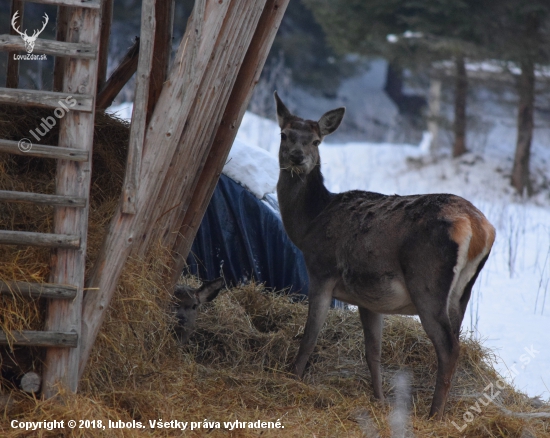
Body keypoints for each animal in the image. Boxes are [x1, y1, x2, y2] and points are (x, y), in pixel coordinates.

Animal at [274, 90, 496, 420]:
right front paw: (378, 400)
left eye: (316, 141)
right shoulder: (369, 299)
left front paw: (294, 377)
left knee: (448, 347)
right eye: (284, 134)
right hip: (461, 294)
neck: (309, 224)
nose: (297, 157)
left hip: (427, 282)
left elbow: (310, 336)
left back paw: (434, 415)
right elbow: (373, 353)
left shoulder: (322, 271)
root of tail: (479, 227)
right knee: (456, 340)